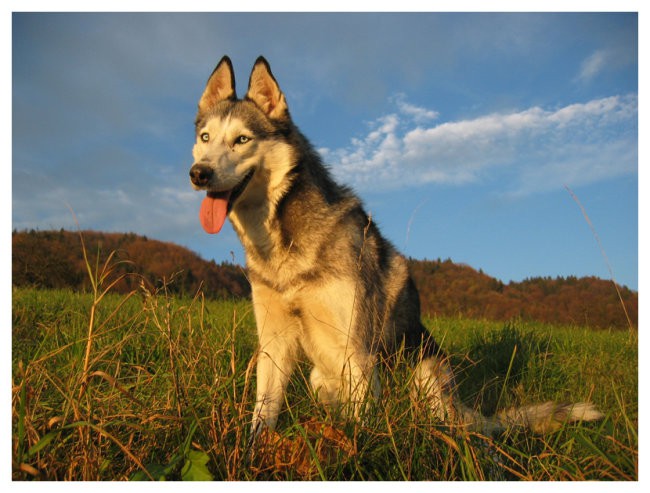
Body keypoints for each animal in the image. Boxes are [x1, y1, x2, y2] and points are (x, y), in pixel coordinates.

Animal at [189, 56, 604, 438]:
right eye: (205, 138)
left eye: (242, 139)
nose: (199, 174)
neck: (281, 241)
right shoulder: (274, 343)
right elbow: (264, 413)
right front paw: (253, 452)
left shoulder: (356, 349)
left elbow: (359, 427)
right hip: (320, 379)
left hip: (425, 371)